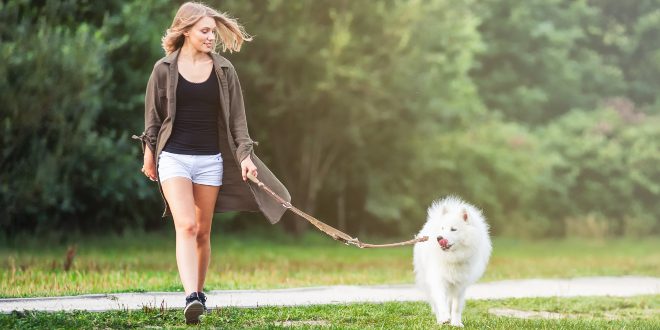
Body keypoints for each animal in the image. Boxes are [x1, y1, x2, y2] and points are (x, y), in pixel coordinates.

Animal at [412, 196, 490, 328]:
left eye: (453, 229)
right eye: (442, 228)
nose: (439, 238)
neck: (452, 257)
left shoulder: (460, 285)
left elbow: (456, 307)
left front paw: (456, 323)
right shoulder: (438, 279)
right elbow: (440, 301)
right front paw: (444, 318)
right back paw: (440, 319)